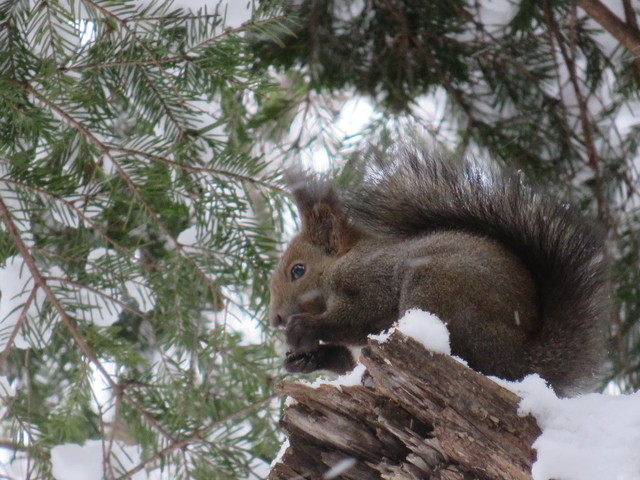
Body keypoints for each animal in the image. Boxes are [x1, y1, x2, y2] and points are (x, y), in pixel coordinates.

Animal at [268, 144, 612, 396]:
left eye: (298, 271)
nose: (275, 319)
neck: (342, 262)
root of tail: (524, 357)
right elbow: (343, 357)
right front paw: (303, 359)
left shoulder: (370, 280)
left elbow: (360, 315)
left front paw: (304, 327)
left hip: (437, 289)